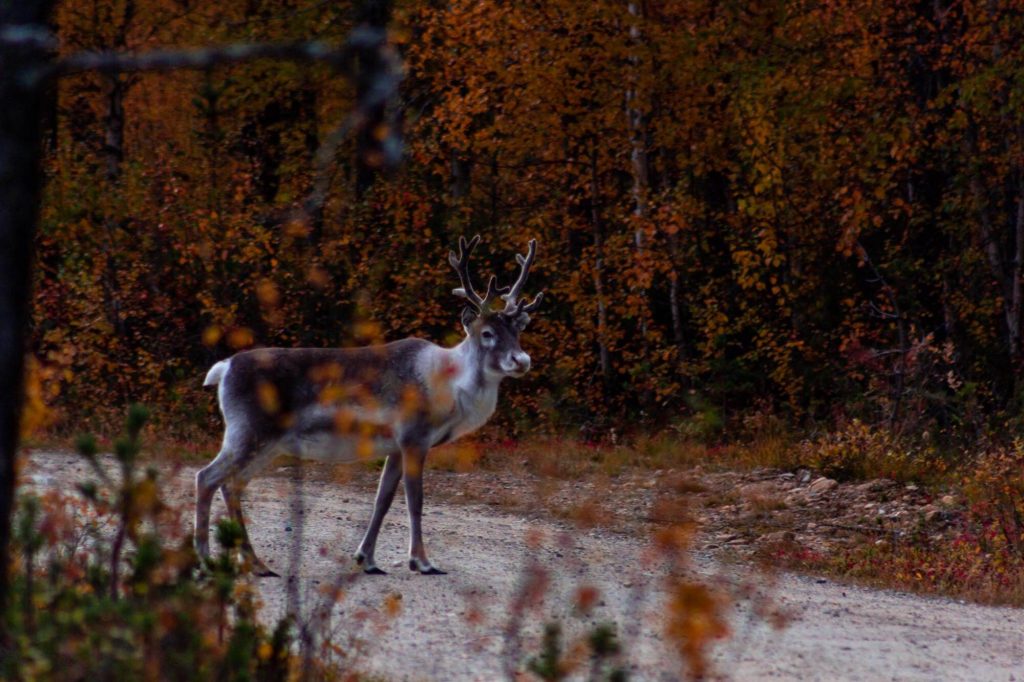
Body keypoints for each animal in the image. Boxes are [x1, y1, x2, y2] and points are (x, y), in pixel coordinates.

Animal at [195, 235, 542, 576]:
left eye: (518, 330)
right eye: (487, 333)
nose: (522, 360)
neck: (448, 386)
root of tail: (224, 369)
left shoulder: (394, 446)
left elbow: (383, 500)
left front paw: (367, 558)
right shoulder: (414, 437)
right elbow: (415, 501)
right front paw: (423, 562)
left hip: (266, 443)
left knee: (232, 484)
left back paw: (256, 564)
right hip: (249, 431)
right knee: (207, 477)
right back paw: (207, 559)